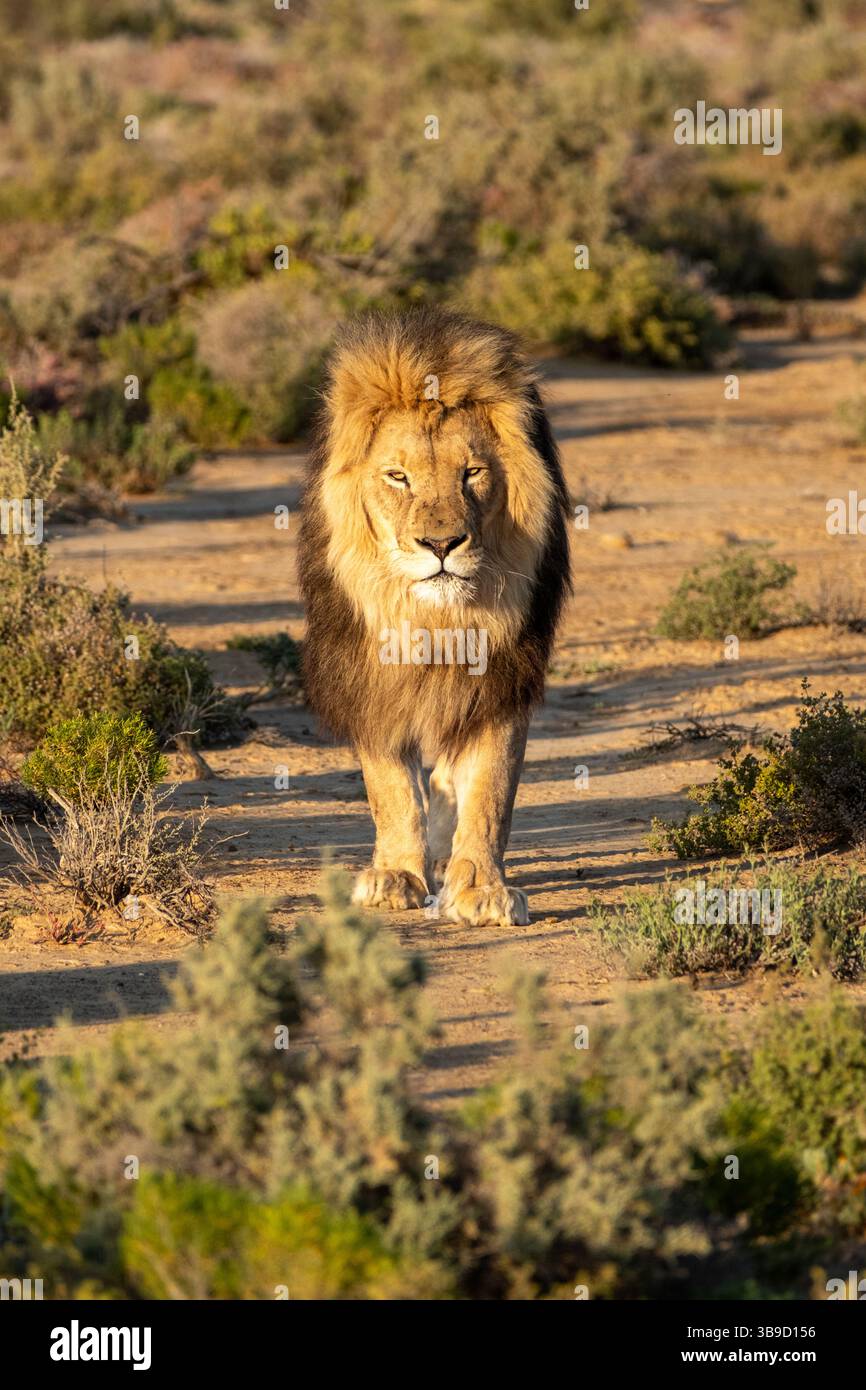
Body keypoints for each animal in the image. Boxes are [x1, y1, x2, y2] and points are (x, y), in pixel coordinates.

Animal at [298, 307, 571, 927]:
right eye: (398, 477)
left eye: (471, 472)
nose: (442, 545)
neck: (435, 622)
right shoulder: (371, 680)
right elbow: (392, 789)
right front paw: (396, 875)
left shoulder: (502, 677)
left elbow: (491, 789)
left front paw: (482, 888)